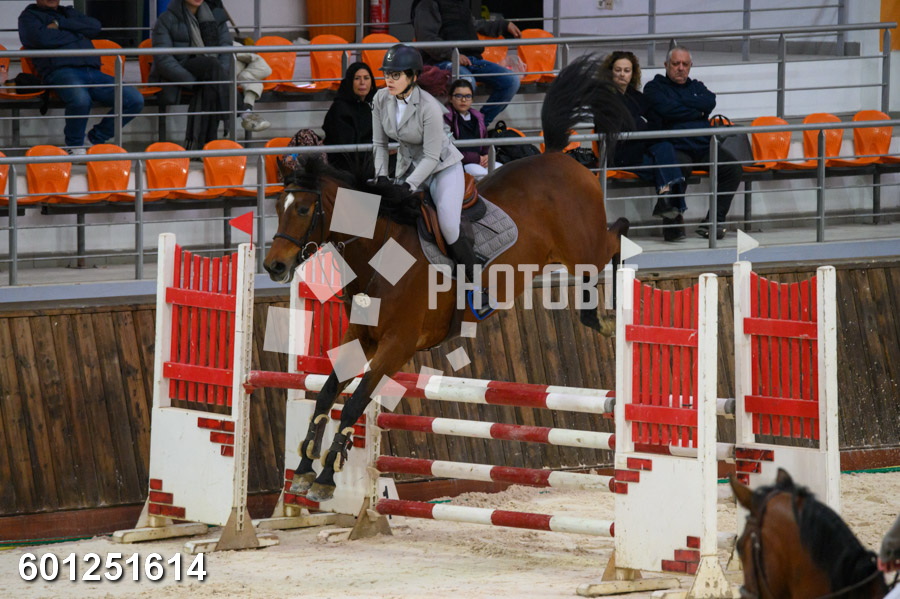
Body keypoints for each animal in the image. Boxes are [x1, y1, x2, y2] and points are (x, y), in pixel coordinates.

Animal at [263, 55, 632, 503]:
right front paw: (304, 470)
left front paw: (325, 477)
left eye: (302, 209)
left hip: (583, 248)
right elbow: (327, 394)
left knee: (617, 236)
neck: (380, 252)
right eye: (278, 207)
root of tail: (559, 156)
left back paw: (606, 317)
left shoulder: (398, 345)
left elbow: (354, 401)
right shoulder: (361, 337)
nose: (273, 266)